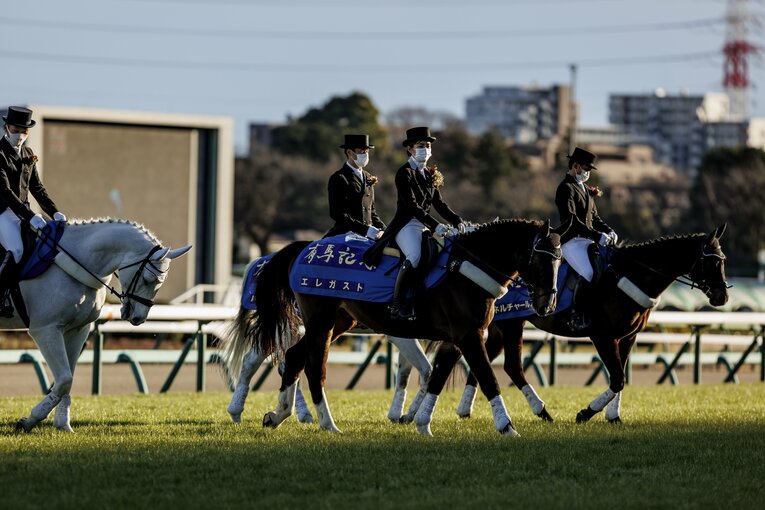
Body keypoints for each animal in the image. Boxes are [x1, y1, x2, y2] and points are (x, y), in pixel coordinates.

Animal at [9, 218, 191, 432]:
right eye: (148, 279)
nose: (139, 318)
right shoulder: (45, 330)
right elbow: (64, 380)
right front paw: (30, 420)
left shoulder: (77, 330)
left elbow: (68, 378)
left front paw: (63, 425)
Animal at [246, 219, 562, 436]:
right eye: (540, 259)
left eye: (559, 261)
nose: (547, 304)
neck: (465, 268)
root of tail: (307, 246)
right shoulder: (469, 336)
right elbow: (488, 377)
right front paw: (507, 426)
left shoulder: (457, 338)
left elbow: (436, 377)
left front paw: (422, 423)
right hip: (321, 322)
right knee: (314, 368)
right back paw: (328, 423)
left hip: (339, 321)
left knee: (294, 357)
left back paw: (278, 414)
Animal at [434, 224, 729, 424]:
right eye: (711, 262)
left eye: (722, 260)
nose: (722, 297)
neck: (632, 273)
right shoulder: (603, 336)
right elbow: (618, 379)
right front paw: (586, 413)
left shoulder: (629, 337)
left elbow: (621, 377)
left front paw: (613, 416)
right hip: (510, 326)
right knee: (510, 367)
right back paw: (541, 411)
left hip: (499, 329)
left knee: (484, 363)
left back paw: (466, 410)